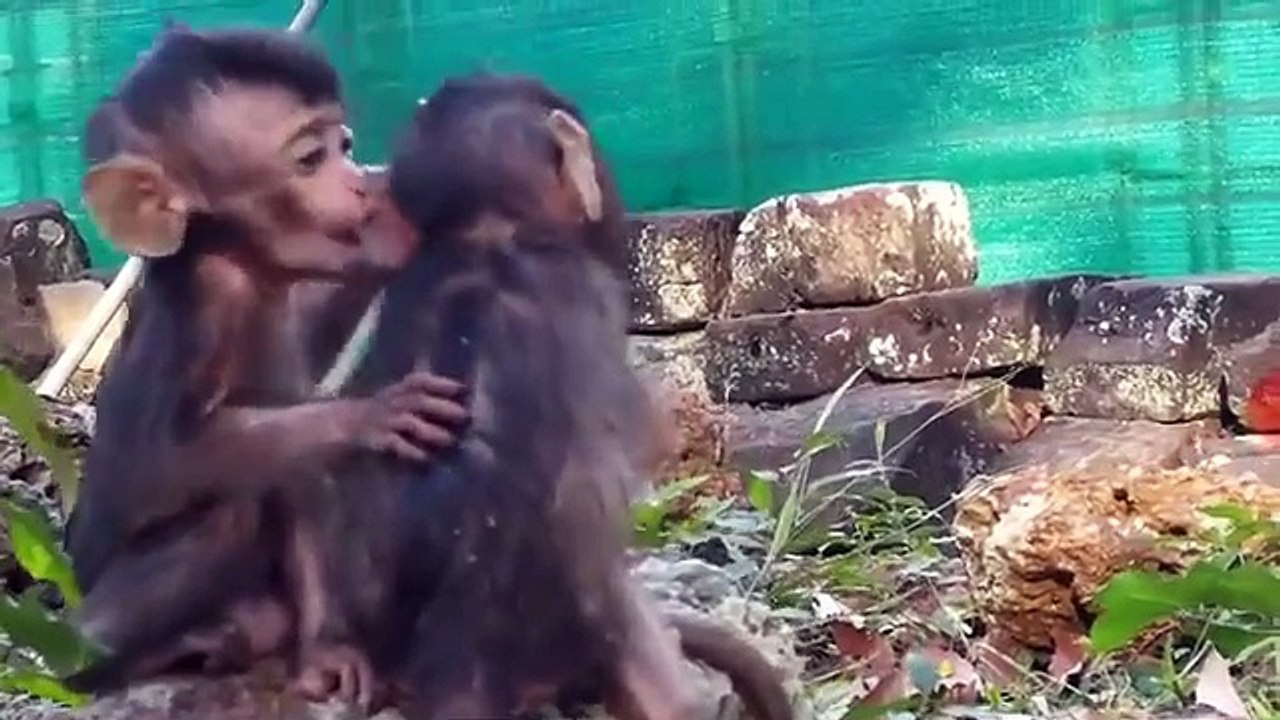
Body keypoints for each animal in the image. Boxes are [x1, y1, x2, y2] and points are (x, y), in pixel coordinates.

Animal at [59, 26, 469, 707]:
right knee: (232, 510)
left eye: (345, 147)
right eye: (310, 159)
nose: (364, 184)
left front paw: (325, 654)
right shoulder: (209, 305)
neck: (246, 263)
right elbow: (170, 456)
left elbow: (298, 478)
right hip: (81, 623)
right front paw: (373, 412)